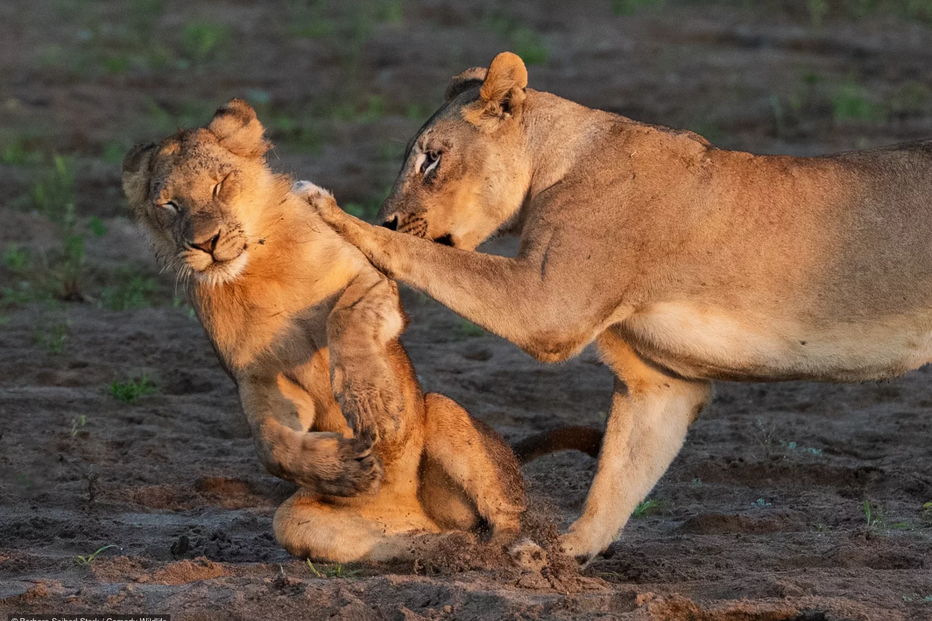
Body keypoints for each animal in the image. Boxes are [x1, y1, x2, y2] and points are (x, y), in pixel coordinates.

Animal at [121, 98, 600, 563]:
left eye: (221, 184)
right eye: (169, 205)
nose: (206, 244)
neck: (255, 272)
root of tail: (407, 510)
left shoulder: (371, 280)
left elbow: (344, 319)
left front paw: (374, 407)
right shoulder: (256, 377)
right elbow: (269, 443)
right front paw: (347, 469)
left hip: (442, 412)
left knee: (505, 517)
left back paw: (522, 552)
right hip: (301, 520)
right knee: (405, 538)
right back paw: (447, 550)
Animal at [311, 51, 932, 562]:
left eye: (432, 160)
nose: (390, 216)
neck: (557, 159)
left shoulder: (548, 306)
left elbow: (426, 256)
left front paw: (332, 213)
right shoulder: (661, 382)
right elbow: (618, 474)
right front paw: (563, 554)